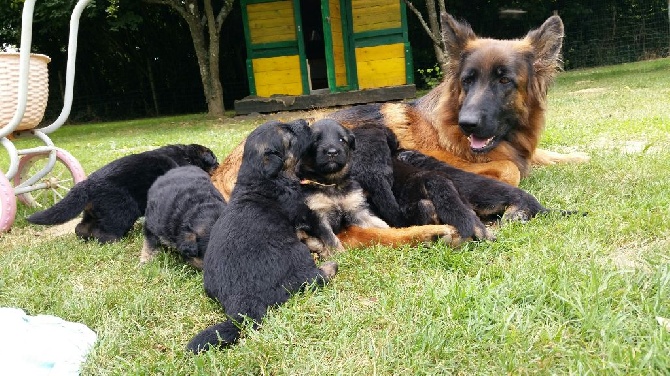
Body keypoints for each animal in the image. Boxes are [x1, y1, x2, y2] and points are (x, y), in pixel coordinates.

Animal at [26, 144, 218, 244]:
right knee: (106, 233)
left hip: (94, 212)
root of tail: (87, 185)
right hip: (122, 211)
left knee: (80, 228)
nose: (218, 164)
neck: (187, 157)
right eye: (215, 160)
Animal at [186, 119, 338, 352]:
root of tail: (241, 308)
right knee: (308, 280)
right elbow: (319, 227)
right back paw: (329, 267)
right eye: (289, 133)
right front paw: (332, 246)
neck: (260, 177)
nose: (306, 121)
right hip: (295, 255)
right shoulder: (301, 210)